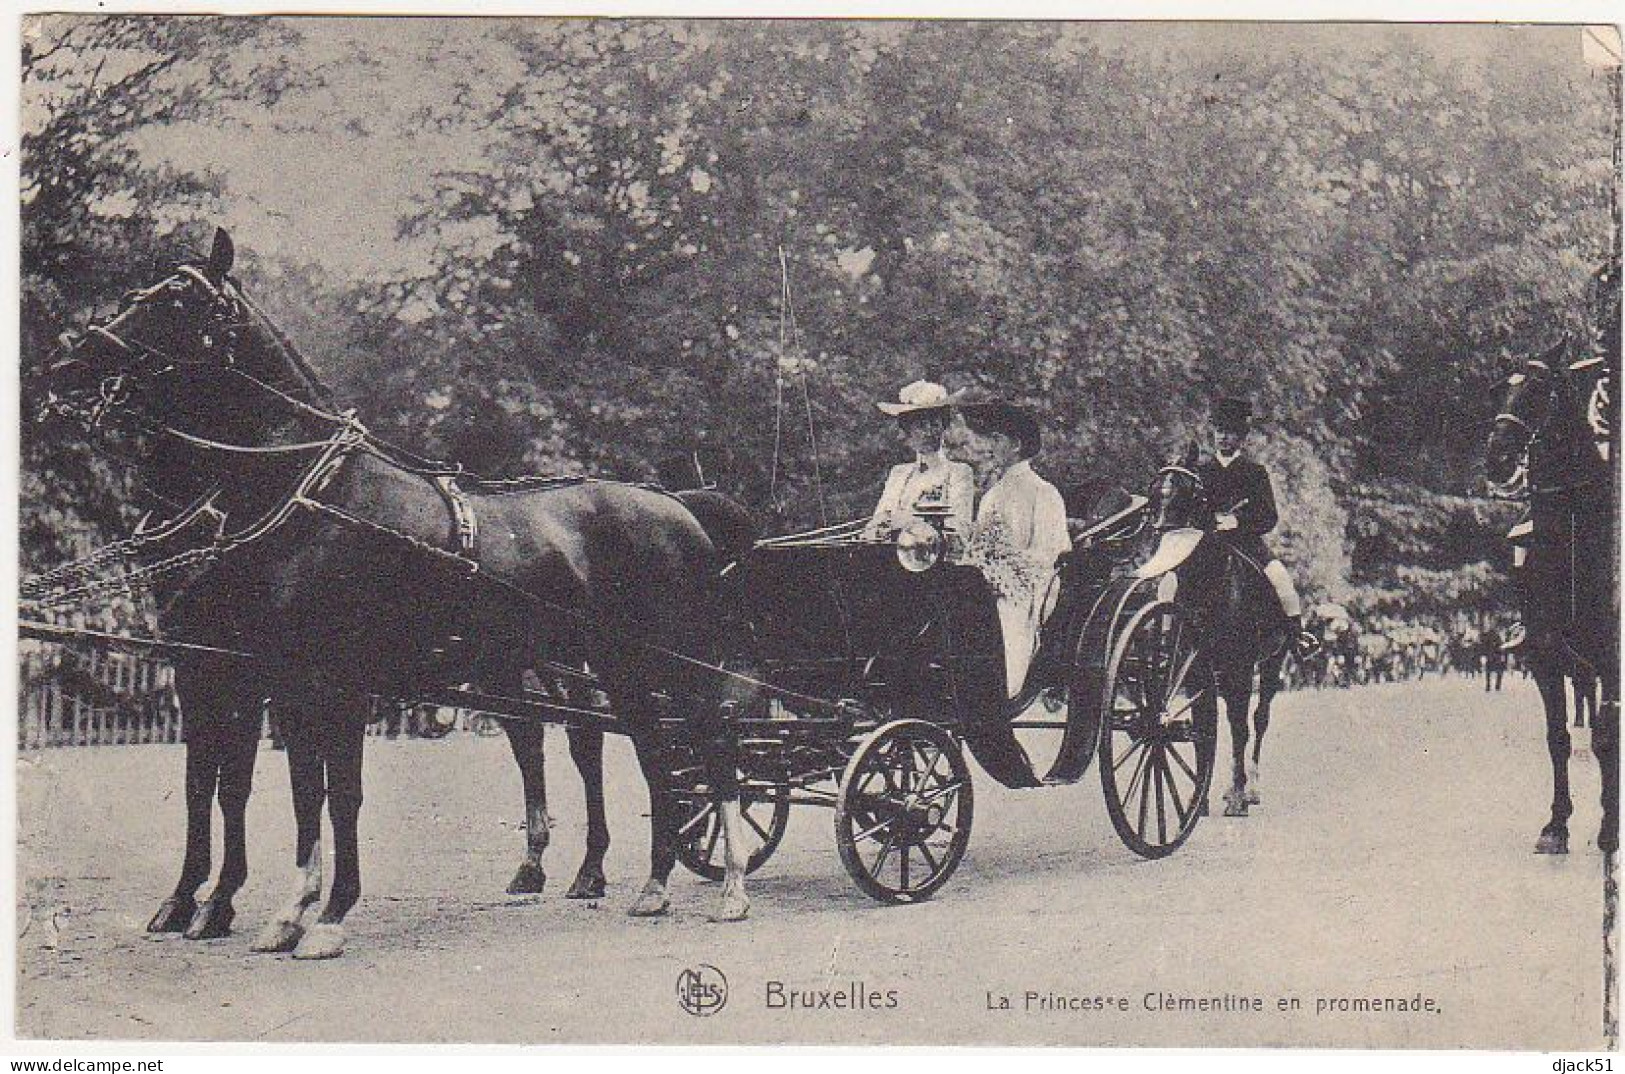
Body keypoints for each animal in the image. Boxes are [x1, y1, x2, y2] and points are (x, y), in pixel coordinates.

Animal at [42, 229, 754, 955]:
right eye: (138, 292)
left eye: (178, 300)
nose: (69, 363)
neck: (315, 493)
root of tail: (680, 506)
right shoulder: (271, 677)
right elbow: (288, 790)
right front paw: (279, 913)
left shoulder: (323, 680)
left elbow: (331, 794)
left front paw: (322, 917)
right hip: (610, 666)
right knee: (642, 752)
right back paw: (650, 884)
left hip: (673, 664)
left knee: (709, 745)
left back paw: (729, 888)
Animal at [1150, 451, 1287, 812]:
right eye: (1155, 490)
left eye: (1190, 492)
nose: (1161, 532)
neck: (1206, 581)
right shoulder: (1194, 670)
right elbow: (1202, 728)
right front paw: (1202, 799)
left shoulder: (1240, 668)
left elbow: (1239, 728)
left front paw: (1237, 797)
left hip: (1272, 662)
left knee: (1259, 719)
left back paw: (1251, 788)